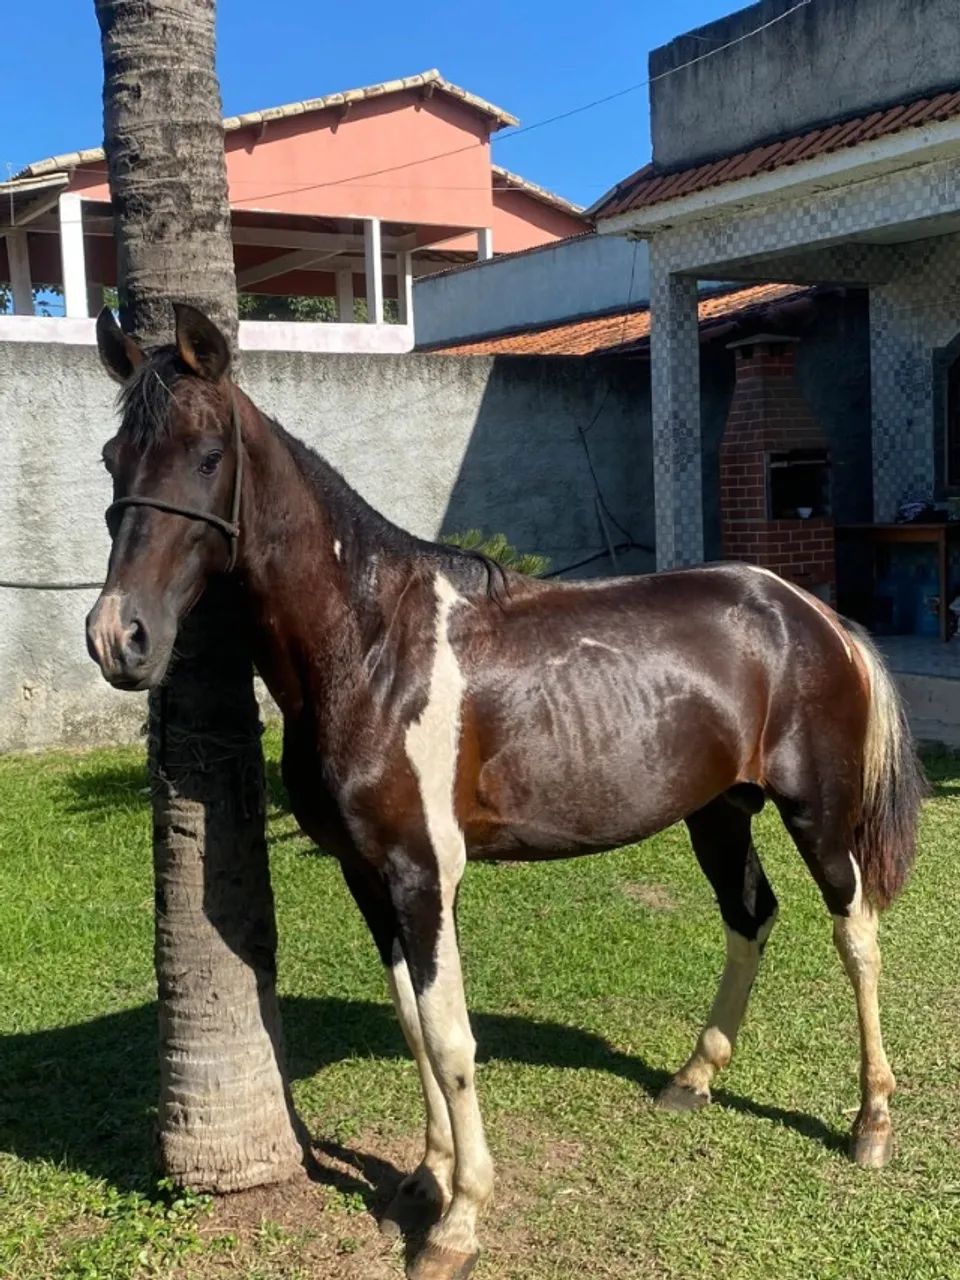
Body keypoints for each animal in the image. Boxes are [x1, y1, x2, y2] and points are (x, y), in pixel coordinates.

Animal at [86, 304, 925, 1280]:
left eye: (208, 454)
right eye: (113, 457)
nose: (118, 636)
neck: (373, 647)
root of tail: (811, 613)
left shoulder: (425, 875)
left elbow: (451, 1038)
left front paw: (459, 1219)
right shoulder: (367, 878)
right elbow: (413, 1023)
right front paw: (424, 1176)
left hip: (817, 815)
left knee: (856, 934)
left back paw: (871, 1121)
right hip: (717, 814)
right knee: (751, 917)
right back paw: (694, 1077)